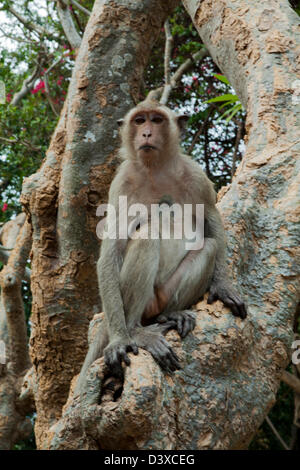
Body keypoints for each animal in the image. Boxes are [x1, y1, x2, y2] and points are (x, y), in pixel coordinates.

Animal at [75, 95, 246, 392]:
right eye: (139, 120)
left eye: (156, 120)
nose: (146, 133)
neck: (155, 168)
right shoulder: (121, 183)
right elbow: (112, 251)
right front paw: (120, 340)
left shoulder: (195, 174)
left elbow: (212, 220)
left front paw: (223, 285)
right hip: (139, 301)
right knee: (145, 239)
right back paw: (135, 331)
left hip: (165, 293)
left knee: (209, 246)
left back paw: (170, 315)